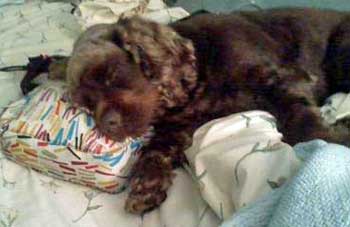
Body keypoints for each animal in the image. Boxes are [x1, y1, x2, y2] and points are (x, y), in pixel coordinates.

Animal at [22, 6, 350, 213]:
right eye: (86, 103)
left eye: (112, 75)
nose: (108, 125)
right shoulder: (180, 126)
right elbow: (154, 150)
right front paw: (145, 186)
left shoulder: (283, 79)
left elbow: (303, 128)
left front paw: (337, 138)